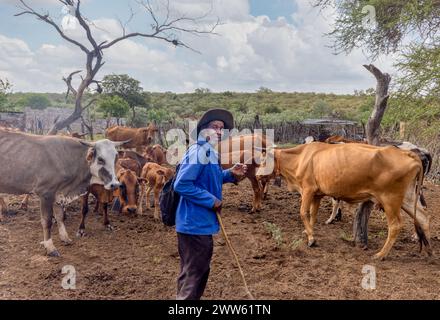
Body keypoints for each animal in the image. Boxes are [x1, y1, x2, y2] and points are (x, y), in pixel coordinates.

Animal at [254, 142, 430, 260]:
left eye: (263, 161)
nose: (257, 175)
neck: (301, 158)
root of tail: (407, 153)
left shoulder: (308, 190)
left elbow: (303, 213)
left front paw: (311, 239)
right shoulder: (317, 194)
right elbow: (313, 215)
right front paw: (309, 231)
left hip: (390, 200)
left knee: (395, 226)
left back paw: (380, 254)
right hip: (407, 198)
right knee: (423, 217)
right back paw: (428, 249)